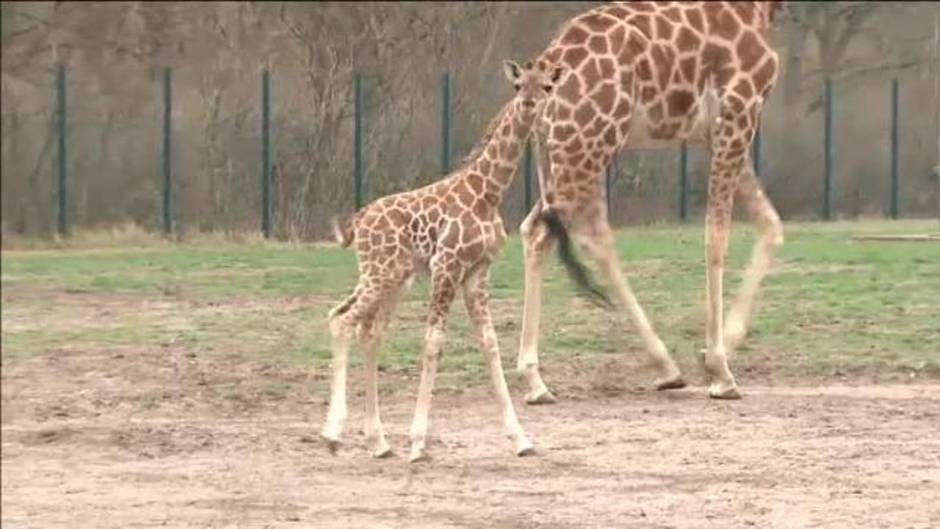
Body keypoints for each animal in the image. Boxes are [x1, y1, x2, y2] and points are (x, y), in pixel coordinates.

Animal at [324, 59, 560, 460]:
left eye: (545, 86)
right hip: (380, 275)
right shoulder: (446, 267)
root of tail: (359, 221)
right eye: (517, 85)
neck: (488, 192)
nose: (529, 104)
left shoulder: (477, 272)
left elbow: (490, 343)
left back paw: (378, 441)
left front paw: (521, 439)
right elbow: (433, 343)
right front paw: (418, 442)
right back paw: (333, 434)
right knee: (342, 321)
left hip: (392, 280)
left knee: (366, 331)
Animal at [516, 0, 784, 400]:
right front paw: (719, 369)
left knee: (542, 232)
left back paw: (539, 380)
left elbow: (771, 225)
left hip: (567, 154)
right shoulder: (738, 112)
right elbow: (716, 238)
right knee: (567, 234)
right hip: (588, 147)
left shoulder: (715, 131)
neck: (759, 9)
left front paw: (722, 348)